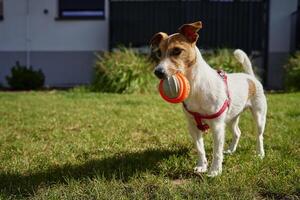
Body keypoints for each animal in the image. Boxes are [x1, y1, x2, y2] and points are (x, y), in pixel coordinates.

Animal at [150, 21, 268, 177]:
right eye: (159, 53)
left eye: (177, 51)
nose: (158, 72)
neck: (195, 86)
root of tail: (250, 77)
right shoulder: (193, 127)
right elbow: (200, 149)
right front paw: (202, 166)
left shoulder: (217, 127)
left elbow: (217, 152)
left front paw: (215, 171)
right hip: (231, 118)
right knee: (237, 132)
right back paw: (231, 150)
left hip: (259, 116)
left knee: (259, 136)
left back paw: (260, 153)